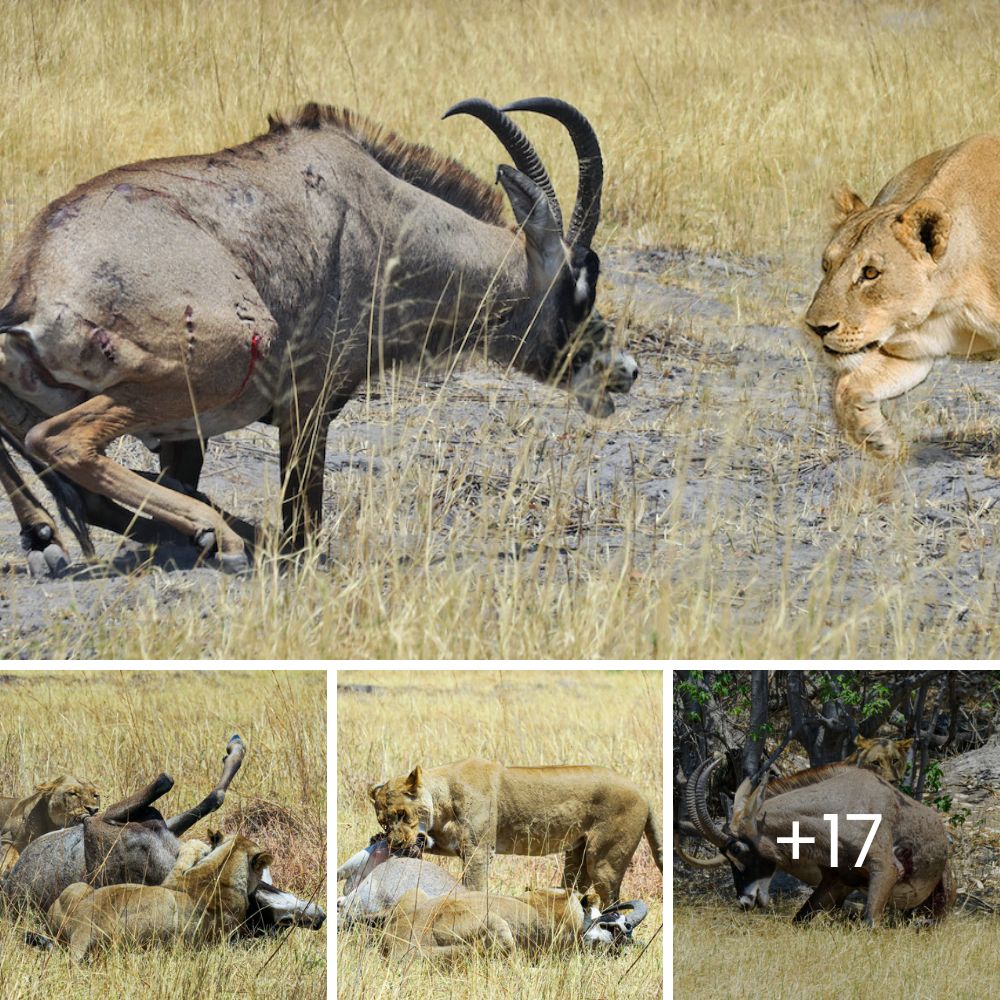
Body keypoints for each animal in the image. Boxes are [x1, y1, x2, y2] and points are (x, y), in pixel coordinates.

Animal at [0, 99, 636, 580]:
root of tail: (31, 285)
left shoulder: (203, 434)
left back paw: (63, 538)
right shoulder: (307, 403)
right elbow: (303, 518)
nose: (624, 370)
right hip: (226, 357)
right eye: (579, 288)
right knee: (60, 440)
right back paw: (218, 536)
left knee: (60, 467)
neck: (382, 217)